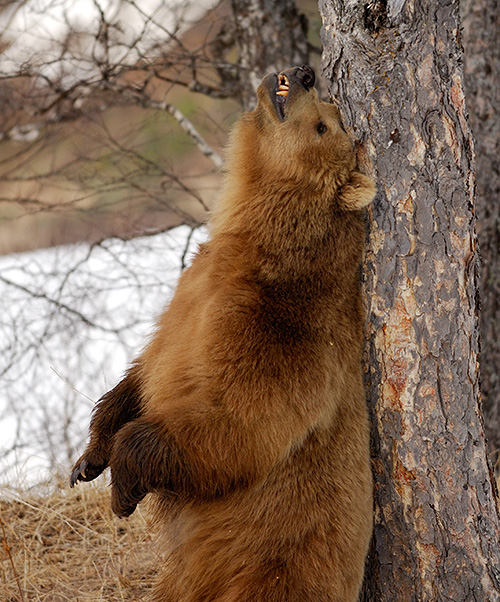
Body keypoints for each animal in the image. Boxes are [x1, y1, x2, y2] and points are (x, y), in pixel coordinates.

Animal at [70, 65, 376, 600]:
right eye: (330, 109)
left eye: (324, 125)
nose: (303, 74)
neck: (259, 242)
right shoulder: (187, 300)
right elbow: (141, 375)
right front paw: (88, 459)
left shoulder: (280, 329)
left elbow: (238, 418)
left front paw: (123, 491)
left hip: (275, 564)